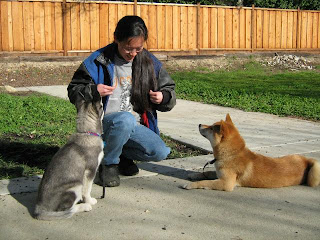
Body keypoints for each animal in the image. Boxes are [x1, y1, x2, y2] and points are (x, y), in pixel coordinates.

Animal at [34, 89, 104, 220]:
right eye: (101, 106)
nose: (101, 95)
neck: (86, 132)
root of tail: (40, 210)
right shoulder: (90, 171)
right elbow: (87, 189)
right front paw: (89, 201)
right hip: (75, 187)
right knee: (67, 210)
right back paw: (84, 207)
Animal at [182, 114, 320, 191]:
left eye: (211, 128)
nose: (199, 124)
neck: (232, 154)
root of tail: (306, 161)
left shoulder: (226, 183)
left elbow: (206, 182)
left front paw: (191, 184)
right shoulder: (219, 174)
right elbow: (208, 173)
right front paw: (194, 175)